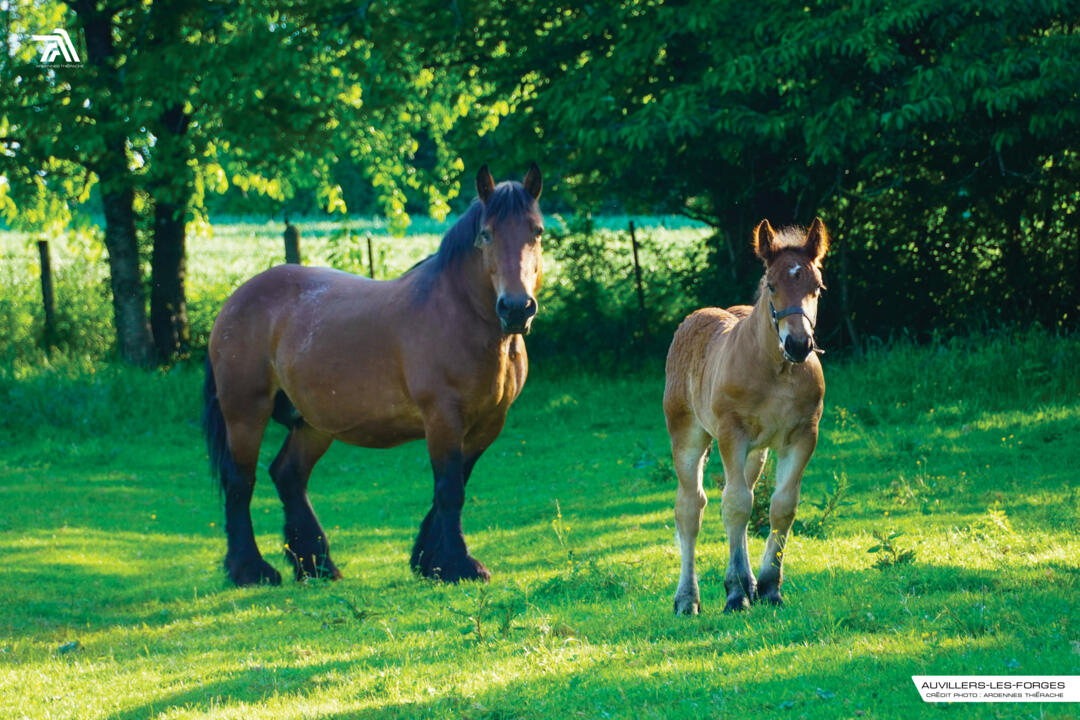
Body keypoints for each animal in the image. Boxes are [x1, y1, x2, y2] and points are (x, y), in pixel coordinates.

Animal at [202, 164, 545, 586]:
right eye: (486, 234)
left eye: (537, 231)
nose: (516, 308)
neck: (459, 314)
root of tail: (235, 301)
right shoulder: (443, 417)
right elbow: (450, 489)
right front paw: (458, 564)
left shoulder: (488, 422)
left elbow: (453, 485)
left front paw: (428, 560)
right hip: (245, 412)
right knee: (240, 482)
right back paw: (249, 570)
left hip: (313, 424)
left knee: (288, 475)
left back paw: (316, 565)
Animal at [663, 218, 829, 614]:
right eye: (771, 285)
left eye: (817, 287)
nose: (799, 344)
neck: (778, 371)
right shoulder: (731, 434)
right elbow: (736, 507)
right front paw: (736, 594)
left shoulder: (803, 435)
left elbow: (781, 506)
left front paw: (768, 587)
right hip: (688, 435)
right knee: (692, 507)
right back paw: (687, 599)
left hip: (757, 451)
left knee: (746, 492)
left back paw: (749, 582)